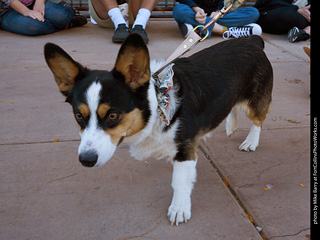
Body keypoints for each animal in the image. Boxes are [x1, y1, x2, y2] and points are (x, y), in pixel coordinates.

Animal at [43, 33, 272, 225]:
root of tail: (253, 41)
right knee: (232, 107)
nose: (86, 160)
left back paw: (251, 141)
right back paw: (230, 126)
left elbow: (179, 181)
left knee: (258, 120)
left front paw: (179, 209)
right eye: (78, 116)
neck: (158, 103)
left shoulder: (185, 149)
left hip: (255, 104)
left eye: (112, 115)